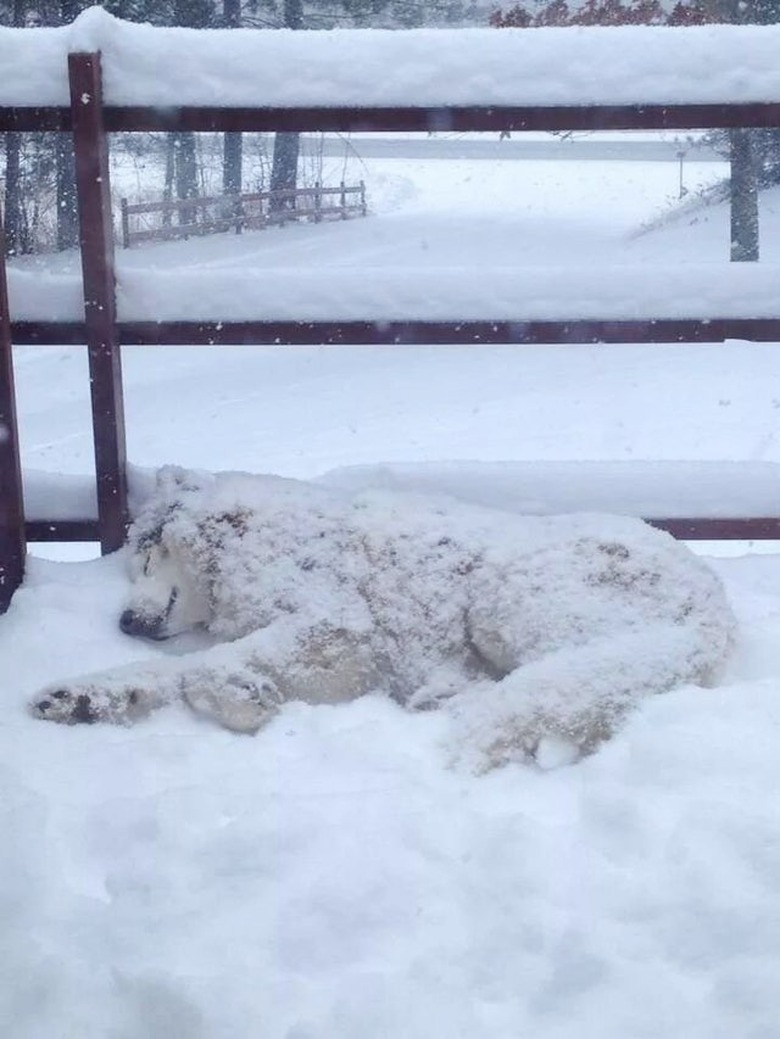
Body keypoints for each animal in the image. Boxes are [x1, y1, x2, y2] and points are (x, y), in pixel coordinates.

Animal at [32, 467, 739, 768]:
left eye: (146, 555)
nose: (124, 622)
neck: (247, 543)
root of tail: (712, 611)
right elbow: (166, 671)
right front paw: (85, 697)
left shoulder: (341, 629)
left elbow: (206, 668)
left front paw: (243, 698)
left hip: (505, 593)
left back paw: (444, 697)